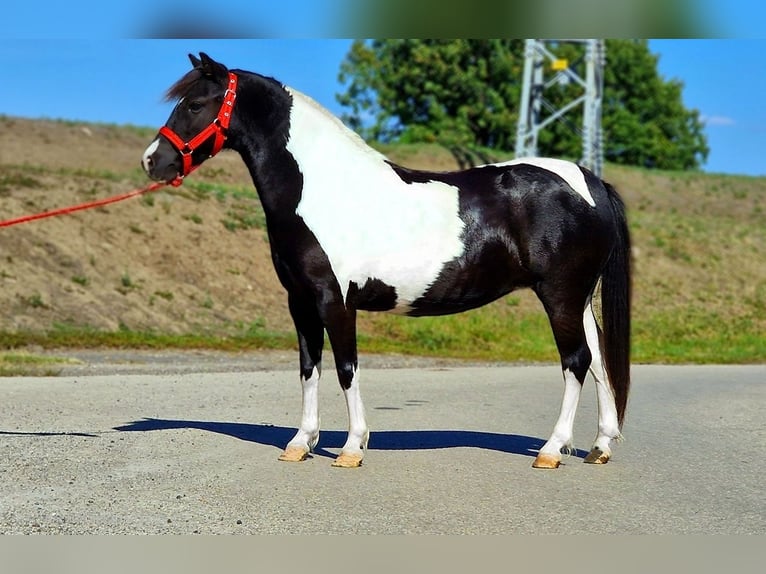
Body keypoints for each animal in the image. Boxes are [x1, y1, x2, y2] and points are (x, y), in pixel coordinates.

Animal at [141, 52, 632, 469]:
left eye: (195, 104)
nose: (153, 161)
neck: (321, 188)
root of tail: (588, 181)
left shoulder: (335, 299)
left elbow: (346, 368)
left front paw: (351, 447)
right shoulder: (300, 301)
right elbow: (309, 368)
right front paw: (301, 443)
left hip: (560, 295)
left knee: (576, 361)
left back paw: (551, 450)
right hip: (578, 299)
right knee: (599, 359)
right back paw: (600, 446)